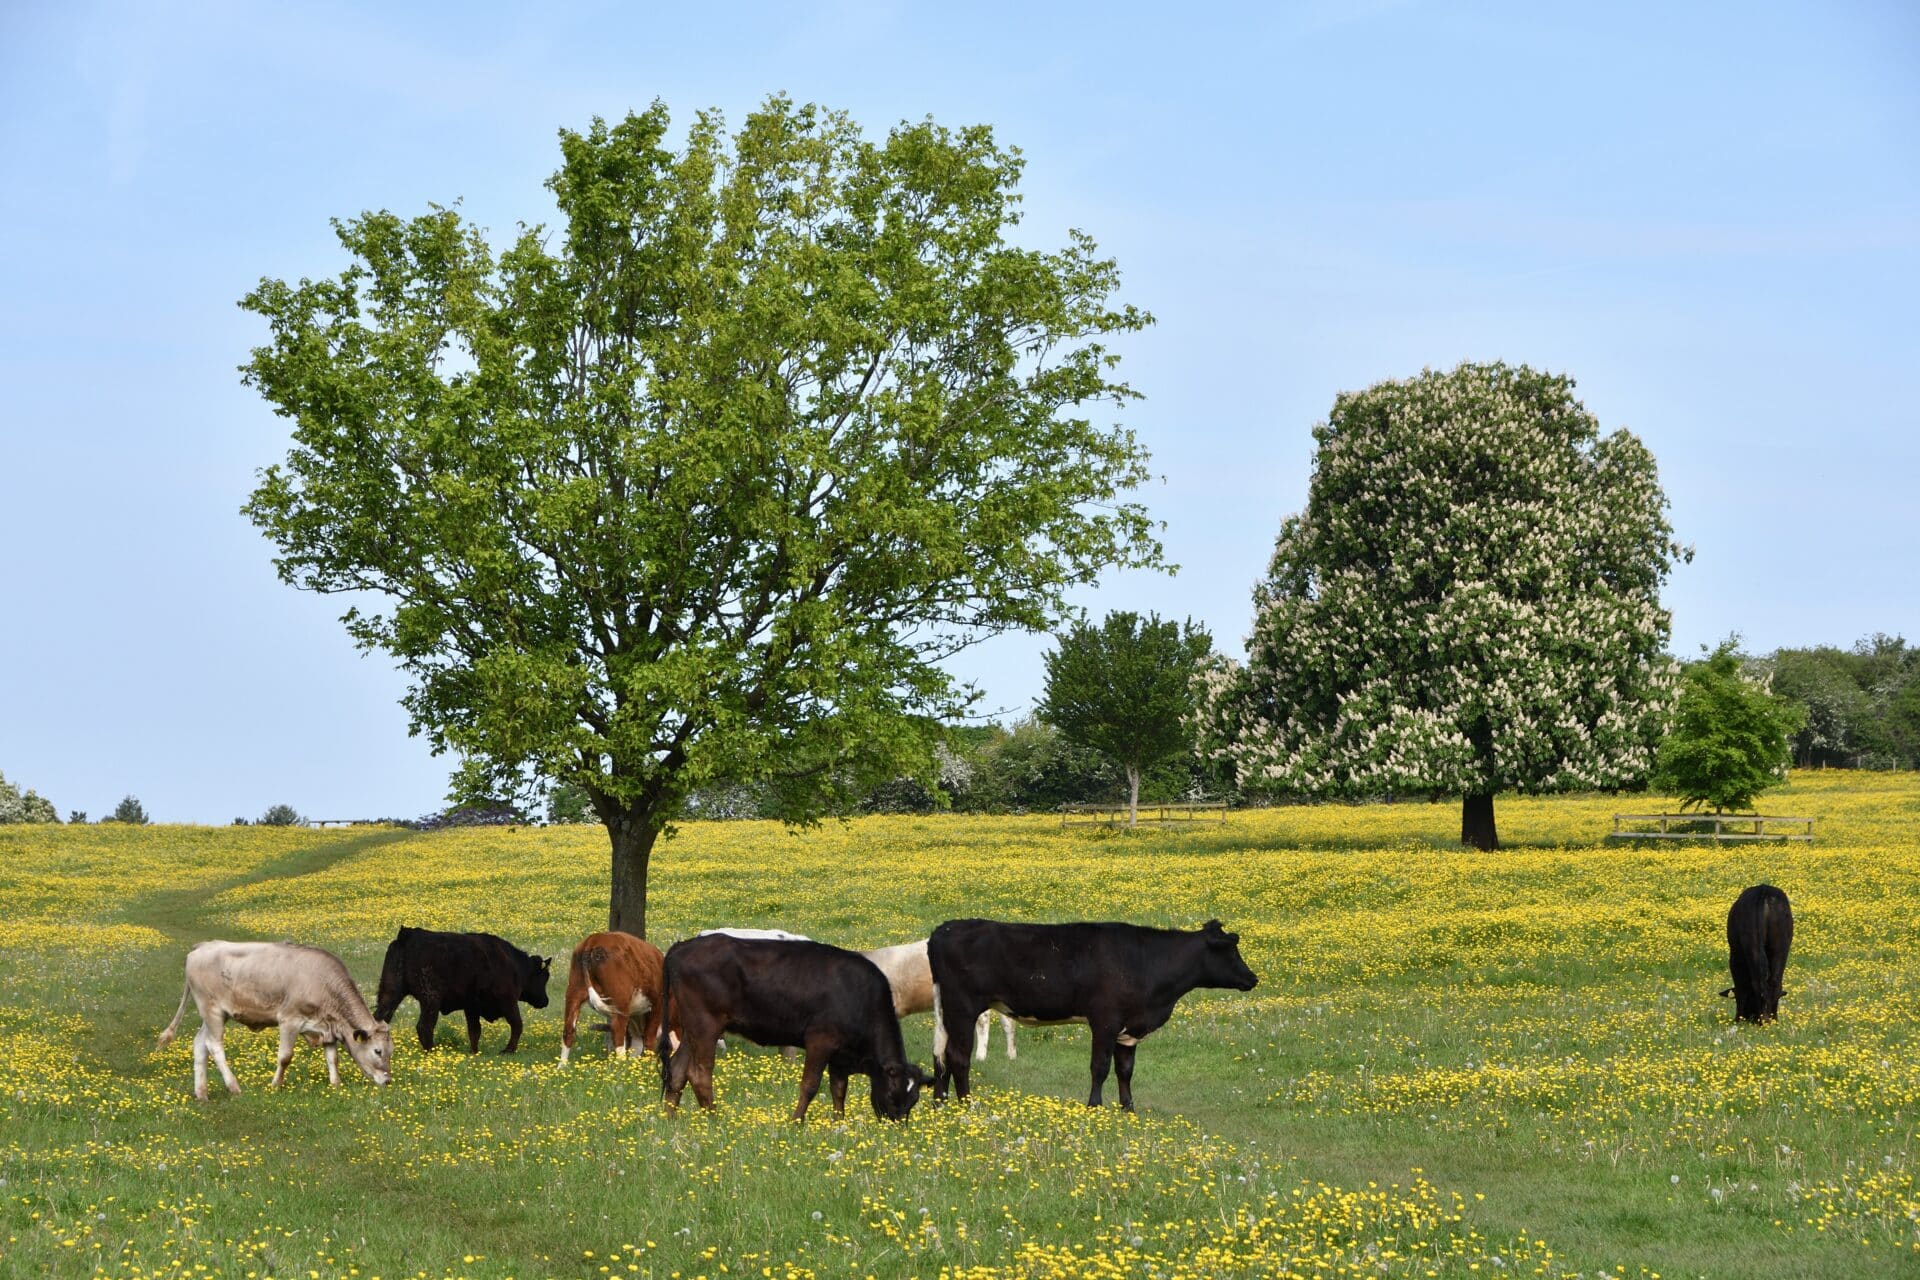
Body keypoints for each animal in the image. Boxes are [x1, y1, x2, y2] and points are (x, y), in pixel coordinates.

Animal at [156, 940, 393, 1100]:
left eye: (391, 1052)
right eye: (377, 1051)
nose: (388, 1080)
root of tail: (201, 947)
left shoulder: (327, 1027)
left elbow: (332, 1058)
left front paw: (335, 1085)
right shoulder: (290, 1020)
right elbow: (285, 1057)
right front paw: (276, 1085)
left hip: (214, 1015)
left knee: (199, 1043)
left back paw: (202, 1093)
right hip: (211, 1010)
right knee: (214, 1045)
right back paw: (234, 1087)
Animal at [374, 926, 552, 1054]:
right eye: (545, 977)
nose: (545, 1001)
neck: (515, 966)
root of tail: (408, 934)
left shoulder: (471, 1007)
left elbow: (475, 1030)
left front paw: (474, 1052)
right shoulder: (508, 1001)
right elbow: (517, 1024)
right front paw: (508, 1050)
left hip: (391, 993)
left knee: (379, 1019)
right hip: (430, 999)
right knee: (424, 1026)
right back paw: (433, 1052)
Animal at [560, 931, 665, 1063]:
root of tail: (594, 938)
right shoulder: (657, 1004)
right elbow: (649, 1037)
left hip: (573, 993)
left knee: (568, 1031)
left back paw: (562, 1066)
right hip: (620, 999)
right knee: (617, 1031)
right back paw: (622, 1063)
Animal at [658, 932, 931, 1122]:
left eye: (913, 1101)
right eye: (893, 1095)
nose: (896, 1125)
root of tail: (683, 946)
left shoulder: (841, 1056)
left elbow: (838, 1090)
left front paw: (839, 1124)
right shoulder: (820, 1041)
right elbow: (810, 1085)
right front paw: (796, 1121)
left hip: (691, 1030)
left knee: (678, 1070)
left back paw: (671, 1119)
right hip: (706, 1025)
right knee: (700, 1073)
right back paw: (714, 1120)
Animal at [928, 918, 1258, 1110]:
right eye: (1231, 951)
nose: (1252, 978)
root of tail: (943, 929)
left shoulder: (1128, 1029)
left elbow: (1125, 1070)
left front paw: (1128, 1109)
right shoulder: (1105, 1022)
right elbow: (1100, 1067)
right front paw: (1094, 1106)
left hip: (947, 1010)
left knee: (942, 1055)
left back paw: (941, 1104)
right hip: (963, 1007)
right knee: (958, 1056)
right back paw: (967, 1105)